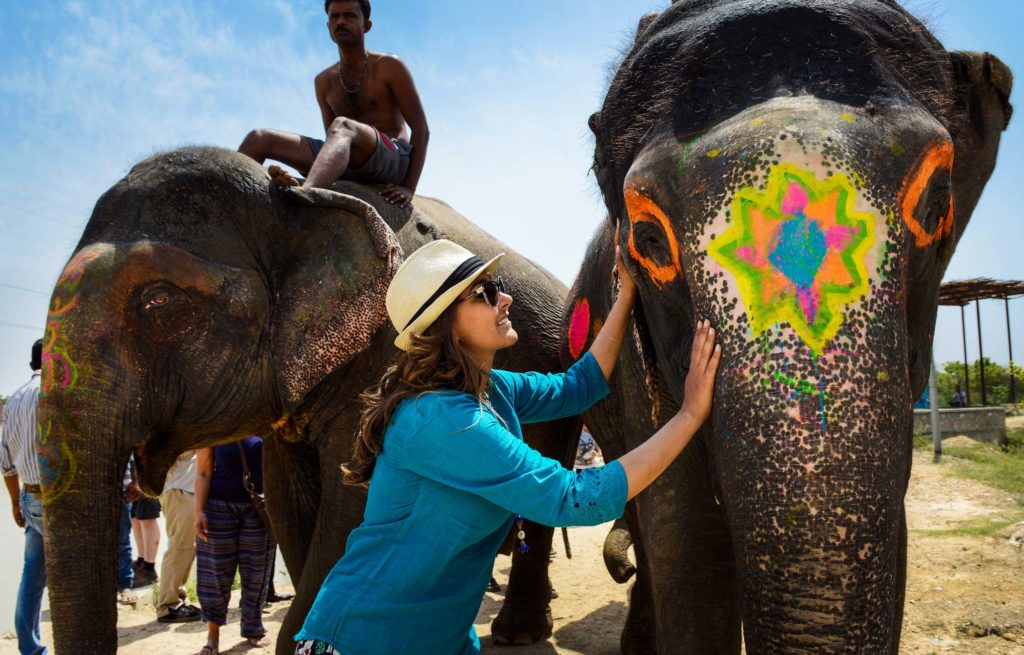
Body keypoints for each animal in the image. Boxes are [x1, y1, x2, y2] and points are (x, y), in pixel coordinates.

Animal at [37, 147, 580, 654]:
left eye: (159, 300)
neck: (295, 201)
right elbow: (288, 505)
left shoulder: (383, 354)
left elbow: (350, 518)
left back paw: (518, 632)